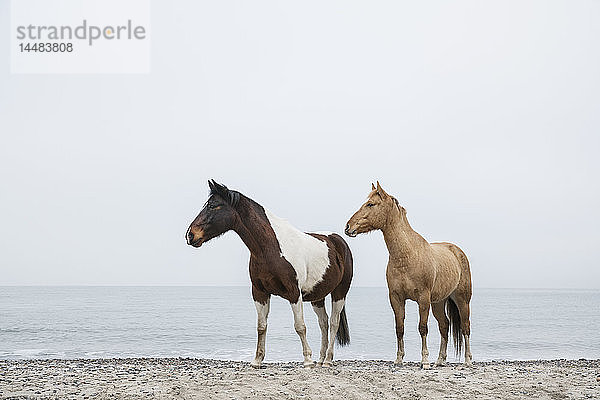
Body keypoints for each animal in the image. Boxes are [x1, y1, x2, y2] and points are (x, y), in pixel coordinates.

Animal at [186, 181, 352, 368]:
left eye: (213, 206)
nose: (190, 235)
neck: (271, 248)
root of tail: (338, 241)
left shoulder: (294, 293)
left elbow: (300, 326)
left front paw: (308, 360)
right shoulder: (259, 293)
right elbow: (261, 326)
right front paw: (257, 360)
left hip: (340, 292)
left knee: (333, 322)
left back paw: (328, 360)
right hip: (317, 296)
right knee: (323, 323)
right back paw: (321, 359)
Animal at [344, 183, 472, 368]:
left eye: (370, 204)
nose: (348, 227)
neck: (408, 255)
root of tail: (457, 251)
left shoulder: (423, 299)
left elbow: (422, 328)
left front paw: (424, 360)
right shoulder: (396, 298)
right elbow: (400, 328)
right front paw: (399, 359)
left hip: (462, 299)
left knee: (465, 327)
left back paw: (467, 359)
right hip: (438, 302)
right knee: (444, 326)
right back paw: (440, 360)